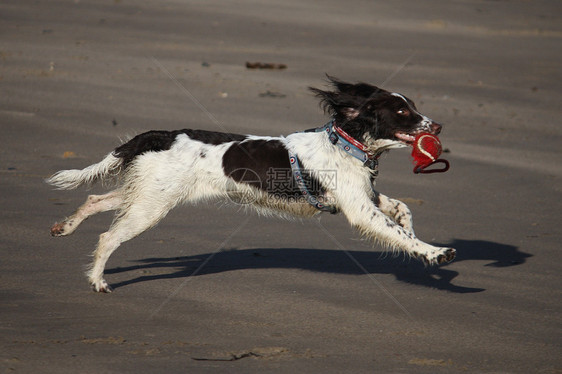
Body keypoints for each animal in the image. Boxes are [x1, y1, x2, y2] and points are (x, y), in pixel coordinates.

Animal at [46, 76, 452, 292]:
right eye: (401, 111)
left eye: (411, 106)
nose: (437, 126)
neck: (346, 143)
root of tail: (158, 134)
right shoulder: (360, 210)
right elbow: (396, 232)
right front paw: (434, 253)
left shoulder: (364, 196)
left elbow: (402, 210)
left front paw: (418, 240)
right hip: (152, 206)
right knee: (108, 236)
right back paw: (98, 281)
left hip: (148, 194)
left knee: (96, 199)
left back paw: (65, 227)